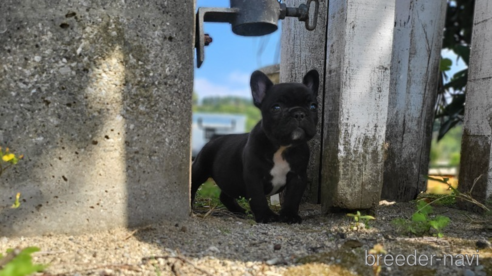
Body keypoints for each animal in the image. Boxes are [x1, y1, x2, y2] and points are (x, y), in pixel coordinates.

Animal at [190, 70, 320, 223]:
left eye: (313, 106)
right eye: (276, 107)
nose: (299, 113)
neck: (281, 146)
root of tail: (214, 138)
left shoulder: (298, 176)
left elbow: (293, 197)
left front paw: (289, 215)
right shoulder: (254, 176)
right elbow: (258, 197)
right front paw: (266, 216)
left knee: (225, 195)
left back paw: (240, 211)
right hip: (200, 168)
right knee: (193, 184)